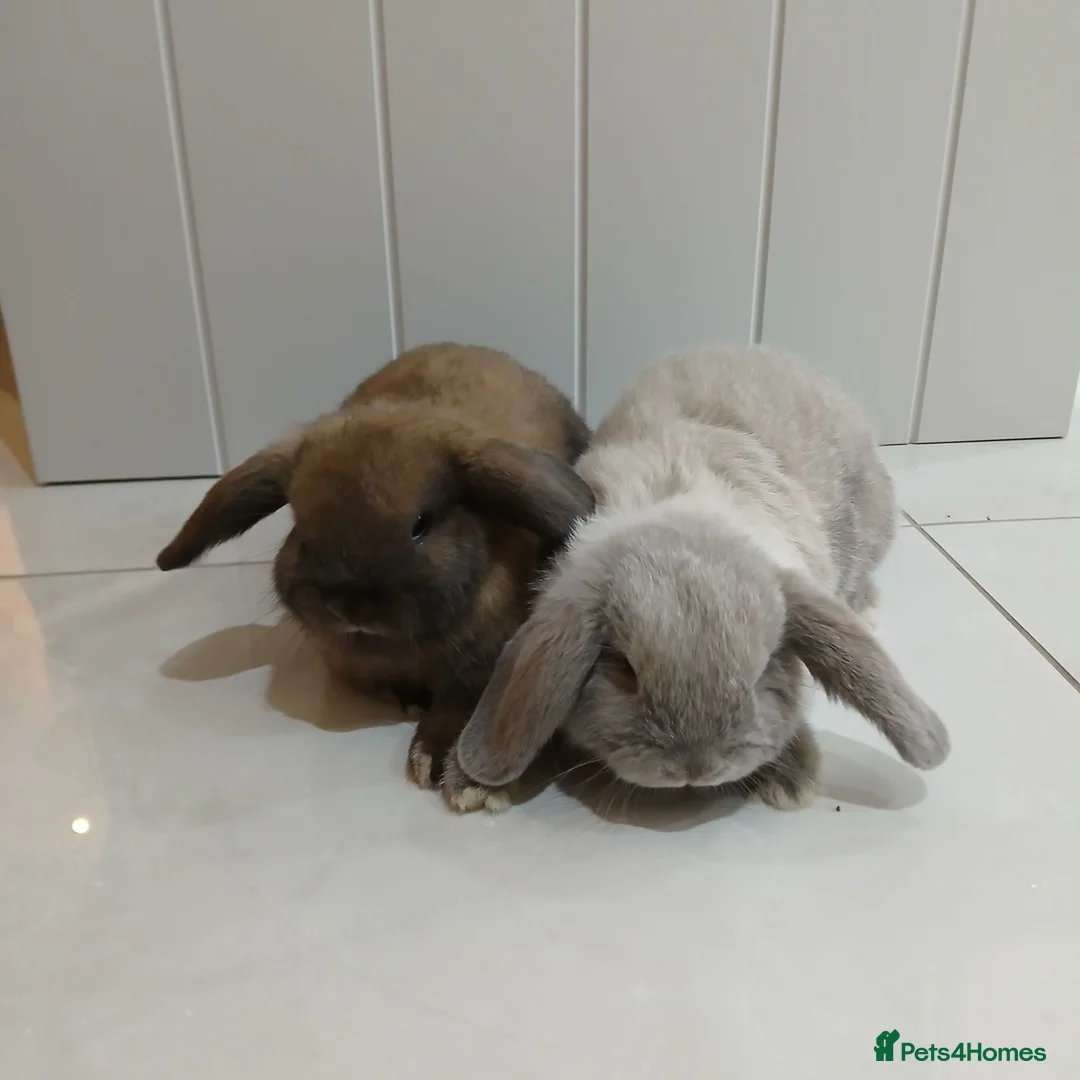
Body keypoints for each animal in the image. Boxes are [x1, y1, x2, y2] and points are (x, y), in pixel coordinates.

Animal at [156, 343, 594, 810]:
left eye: (421, 524)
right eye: (301, 530)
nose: (352, 608)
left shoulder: (483, 666)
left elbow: (458, 706)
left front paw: (437, 763)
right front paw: (409, 705)